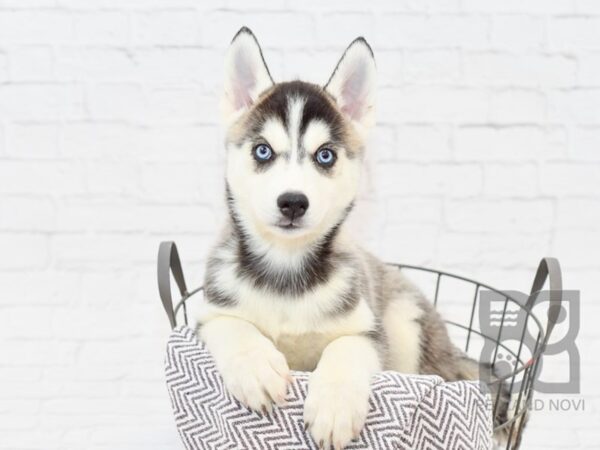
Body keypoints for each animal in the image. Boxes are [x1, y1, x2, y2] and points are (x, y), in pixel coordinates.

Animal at [198, 29, 502, 450]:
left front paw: (335, 405)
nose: (293, 202)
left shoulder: (368, 330)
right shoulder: (208, 316)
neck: (286, 269)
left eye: (325, 156)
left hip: (406, 322)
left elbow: (346, 347)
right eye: (262, 150)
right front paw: (255, 366)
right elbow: (232, 326)